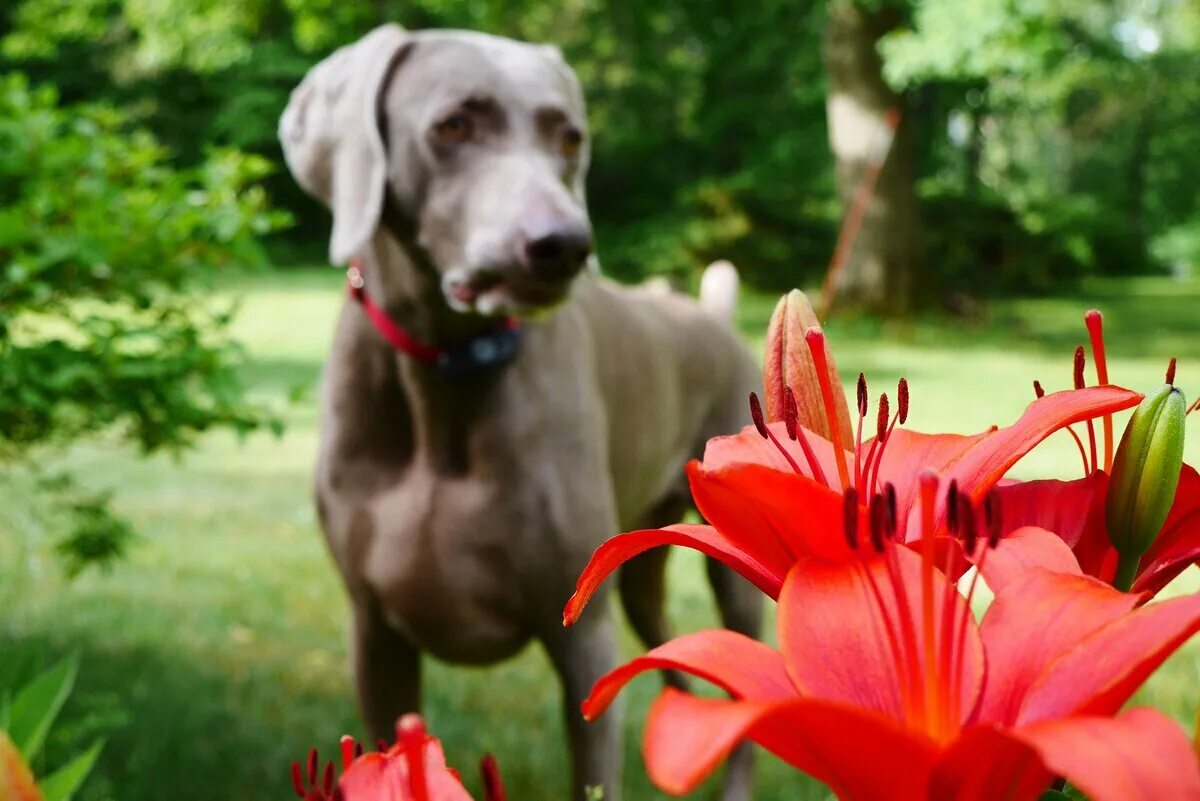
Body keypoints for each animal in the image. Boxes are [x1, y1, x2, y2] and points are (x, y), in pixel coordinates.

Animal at [279, 21, 763, 796]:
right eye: (453, 124)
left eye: (569, 137)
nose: (564, 245)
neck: (445, 374)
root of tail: (714, 316)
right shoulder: (375, 635)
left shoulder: (584, 636)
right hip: (646, 567)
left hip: (732, 568)